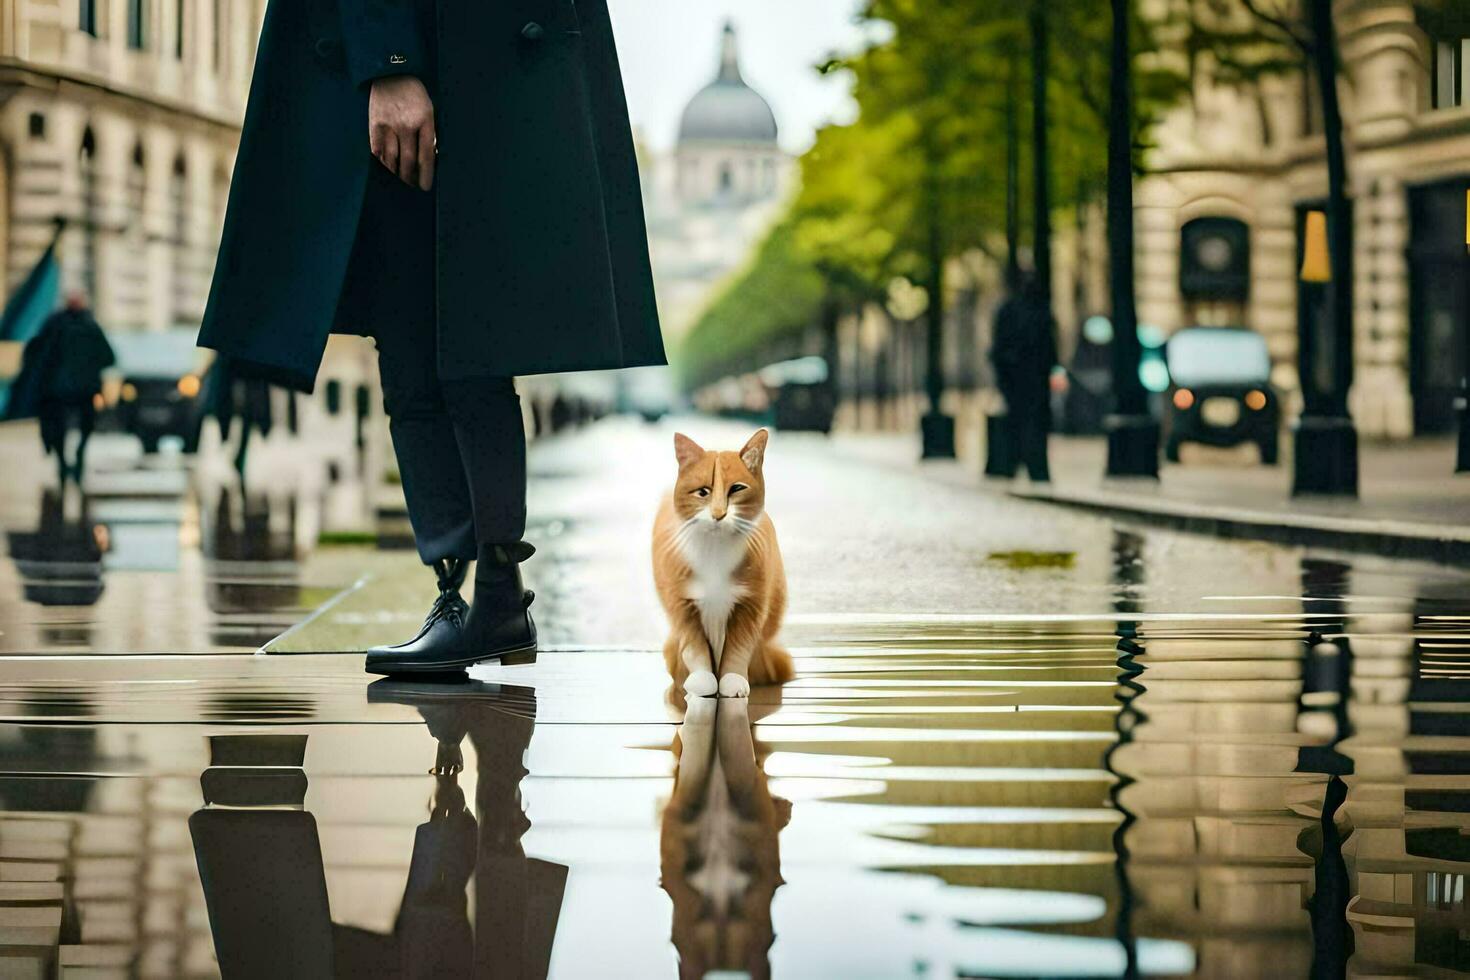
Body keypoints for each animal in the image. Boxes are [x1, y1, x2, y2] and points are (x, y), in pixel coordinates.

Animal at [655, 429, 793, 696]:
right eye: (702, 492)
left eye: (737, 489)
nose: (718, 514)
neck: (715, 552)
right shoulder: (683, 604)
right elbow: (695, 646)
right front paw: (702, 680)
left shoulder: (751, 603)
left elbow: (737, 649)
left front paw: (733, 680)